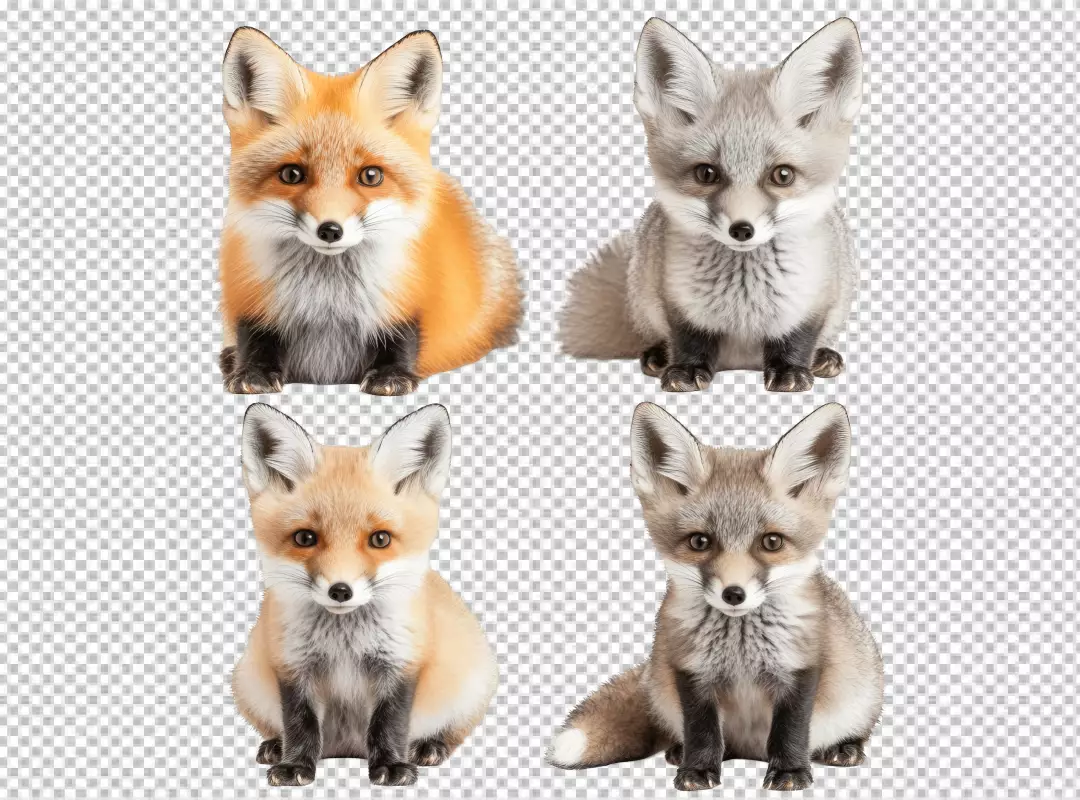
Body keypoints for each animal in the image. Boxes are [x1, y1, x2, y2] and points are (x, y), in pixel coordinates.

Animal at [218, 28, 522, 395]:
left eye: (371, 176)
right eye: (291, 174)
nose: (330, 230)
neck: (327, 301)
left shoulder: (411, 297)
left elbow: (402, 336)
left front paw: (390, 375)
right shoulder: (245, 291)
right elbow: (254, 334)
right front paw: (252, 371)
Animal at [231, 403, 498, 787]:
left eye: (380, 539)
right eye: (305, 538)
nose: (340, 590)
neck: (345, 642)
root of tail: (347, 750)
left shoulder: (401, 662)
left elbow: (389, 723)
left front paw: (391, 766)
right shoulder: (292, 665)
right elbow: (299, 723)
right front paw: (295, 765)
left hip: (475, 684)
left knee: (456, 730)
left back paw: (431, 746)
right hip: (246, 681)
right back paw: (274, 746)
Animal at [548, 403, 883, 792]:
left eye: (771, 542)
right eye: (699, 541)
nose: (733, 594)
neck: (740, 651)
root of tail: (750, 752)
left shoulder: (801, 666)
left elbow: (792, 730)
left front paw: (789, 773)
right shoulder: (690, 669)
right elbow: (701, 730)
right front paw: (697, 771)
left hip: (864, 694)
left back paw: (845, 748)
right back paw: (679, 750)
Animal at [559, 18, 864, 393]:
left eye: (782, 175)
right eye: (707, 173)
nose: (742, 229)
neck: (744, 301)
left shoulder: (814, 299)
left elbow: (798, 337)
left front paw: (791, 371)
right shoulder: (676, 300)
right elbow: (689, 338)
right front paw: (686, 370)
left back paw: (823, 357)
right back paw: (657, 356)